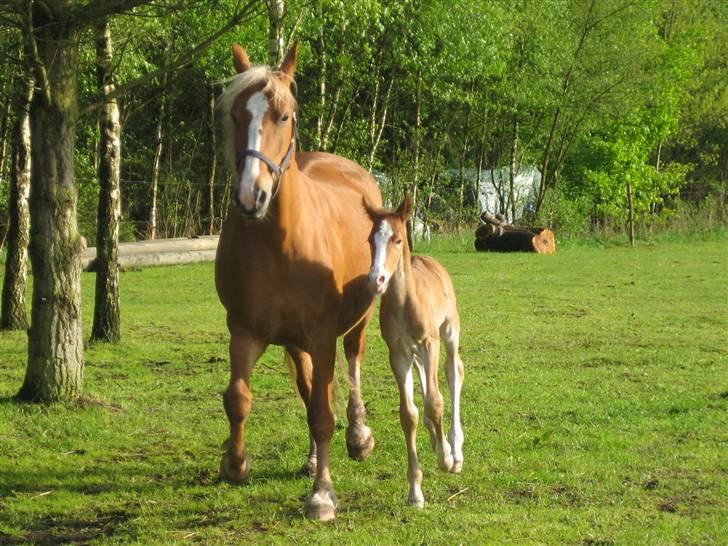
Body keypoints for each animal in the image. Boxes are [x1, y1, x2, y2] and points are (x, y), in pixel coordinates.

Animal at [215, 43, 382, 520]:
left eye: (285, 115)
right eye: (235, 114)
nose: (251, 196)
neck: (280, 241)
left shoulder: (323, 335)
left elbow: (324, 414)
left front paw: (322, 495)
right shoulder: (244, 331)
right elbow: (239, 398)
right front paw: (236, 463)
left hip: (358, 322)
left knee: (353, 364)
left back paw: (359, 437)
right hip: (295, 342)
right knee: (309, 388)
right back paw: (310, 458)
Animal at [364, 194, 466, 506]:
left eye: (397, 239)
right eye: (370, 240)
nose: (376, 279)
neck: (404, 302)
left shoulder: (430, 342)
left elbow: (435, 402)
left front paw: (446, 458)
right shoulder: (397, 353)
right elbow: (409, 414)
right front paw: (415, 492)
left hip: (449, 331)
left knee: (453, 372)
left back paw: (455, 448)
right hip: (415, 351)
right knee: (425, 377)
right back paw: (435, 437)